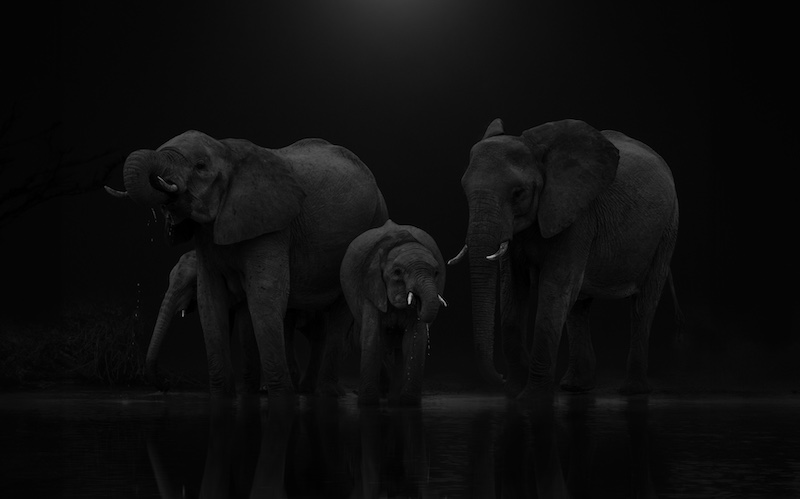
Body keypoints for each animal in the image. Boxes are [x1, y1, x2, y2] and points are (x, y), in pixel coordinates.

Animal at [340, 220, 447, 406]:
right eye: (397, 272)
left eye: (436, 273)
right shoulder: (371, 288)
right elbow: (373, 339)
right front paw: (368, 403)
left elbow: (414, 339)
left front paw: (408, 404)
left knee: (398, 346)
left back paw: (394, 400)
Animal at [449, 118, 680, 400]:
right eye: (464, 189)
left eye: (518, 193)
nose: (500, 377)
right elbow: (512, 294)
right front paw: (514, 391)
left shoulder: (577, 216)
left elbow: (553, 289)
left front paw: (531, 399)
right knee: (578, 305)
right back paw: (576, 387)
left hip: (667, 229)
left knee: (643, 305)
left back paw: (633, 391)